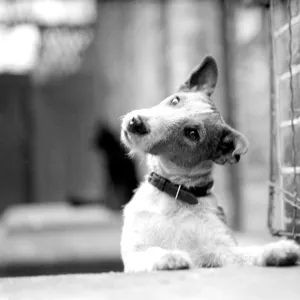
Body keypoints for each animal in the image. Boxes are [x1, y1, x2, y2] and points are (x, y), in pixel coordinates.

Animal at [119, 55, 300, 272]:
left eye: (192, 133)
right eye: (175, 100)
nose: (136, 122)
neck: (176, 191)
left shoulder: (221, 251)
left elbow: (249, 252)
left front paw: (278, 250)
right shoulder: (135, 253)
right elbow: (153, 251)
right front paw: (171, 256)